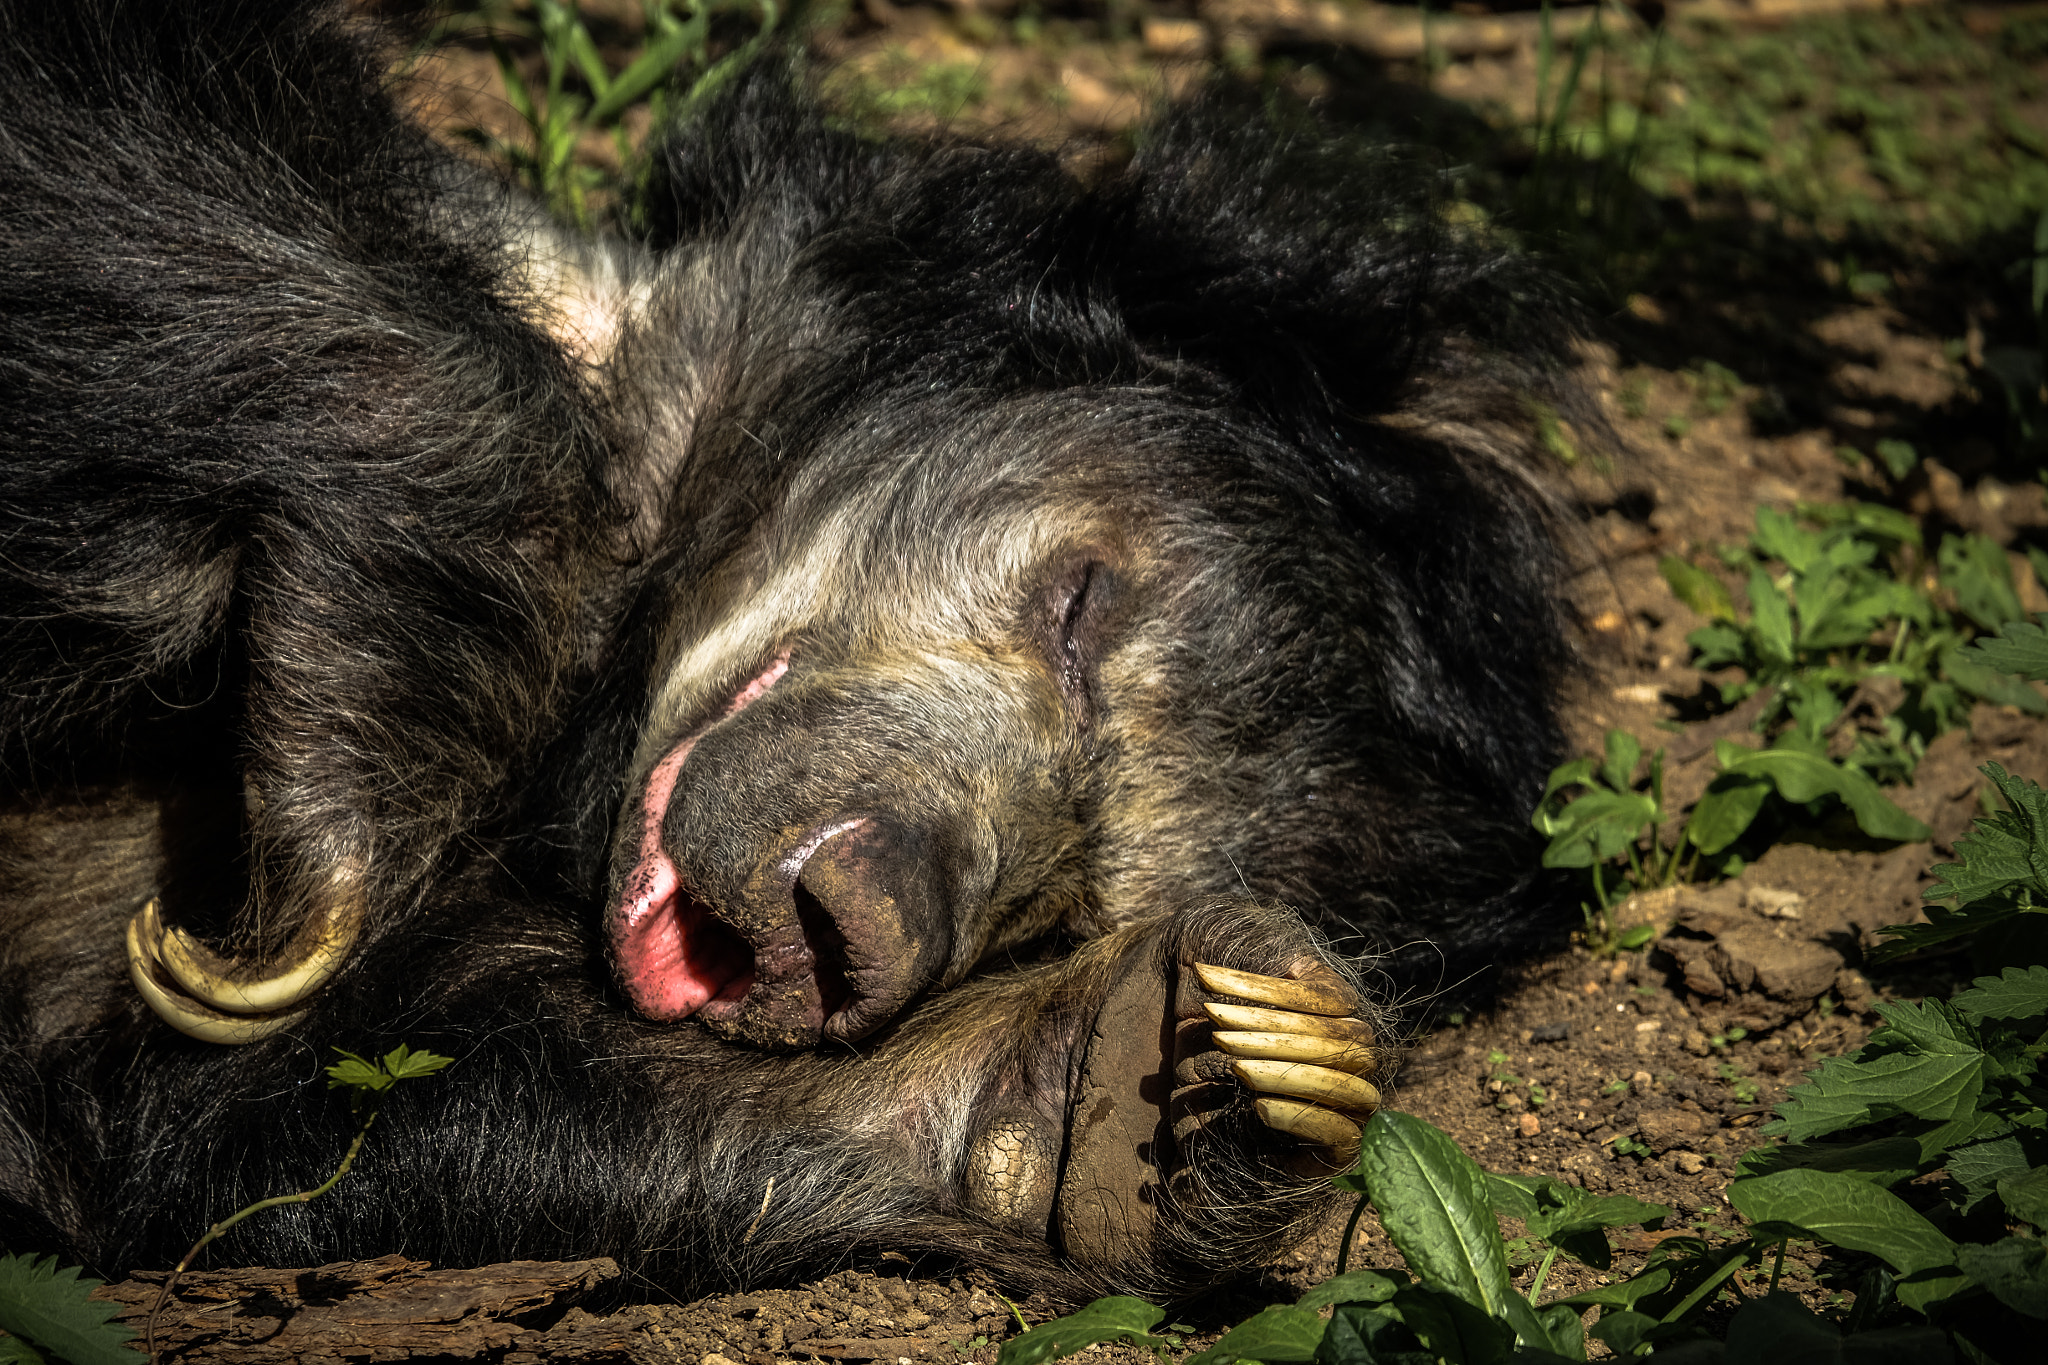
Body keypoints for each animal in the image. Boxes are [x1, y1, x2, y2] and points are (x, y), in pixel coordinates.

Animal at [0, 0, 1564, 1301]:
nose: (854, 914)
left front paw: (1179, 1080)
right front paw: (349, 799)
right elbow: (99, 171)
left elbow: (259, 1106)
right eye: (1077, 603)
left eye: (1079, 908)